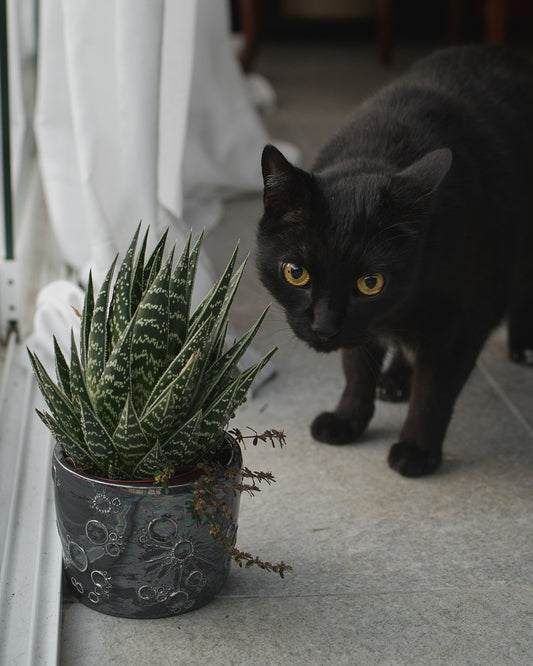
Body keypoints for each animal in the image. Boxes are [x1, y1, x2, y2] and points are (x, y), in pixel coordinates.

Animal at [256, 44, 532, 474]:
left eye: (371, 283)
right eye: (296, 273)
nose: (323, 326)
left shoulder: (464, 321)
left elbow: (434, 390)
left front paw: (417, 451)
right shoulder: (363, 327)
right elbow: (356, 369)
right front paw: (348, 420)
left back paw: (522, 346)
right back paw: (395, 379)